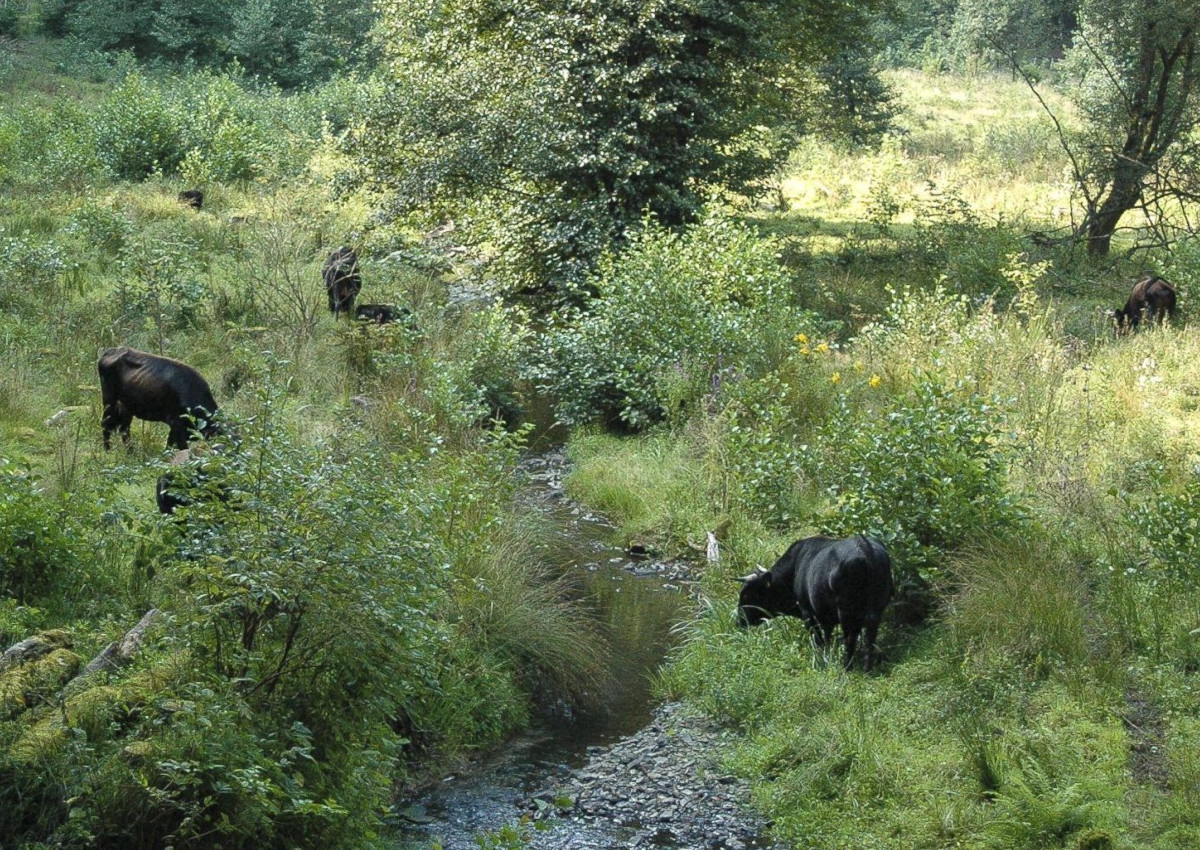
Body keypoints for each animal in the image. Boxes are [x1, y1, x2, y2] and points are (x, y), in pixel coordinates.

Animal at [734, 537, 897, 672]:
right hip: (876, 609)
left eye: (747, 594)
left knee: (850, 637)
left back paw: (847, 667)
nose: (739, 621)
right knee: (870, 637)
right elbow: (827, 636)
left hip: (846, 612)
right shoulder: (825, 617)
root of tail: (863, 545)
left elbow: (818, 640)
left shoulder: (808, 613)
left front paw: (819, 660)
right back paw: (866, 668)